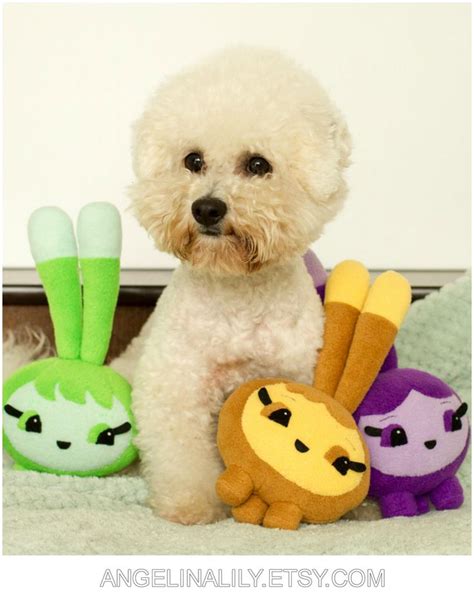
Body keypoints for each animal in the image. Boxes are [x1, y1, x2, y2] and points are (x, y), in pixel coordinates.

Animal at [110, 47, 348, 524]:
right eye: (193, 160)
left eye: (257, 165)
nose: (206, 208)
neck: (238, 297)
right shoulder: (176, 385)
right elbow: (181, 457)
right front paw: (190, 506)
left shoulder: (295, 372)